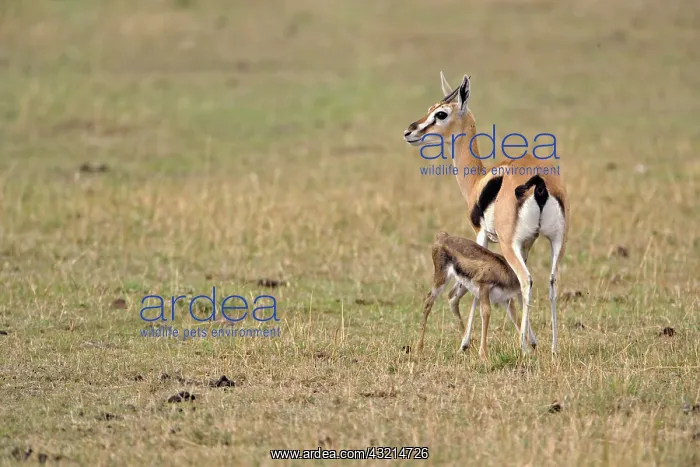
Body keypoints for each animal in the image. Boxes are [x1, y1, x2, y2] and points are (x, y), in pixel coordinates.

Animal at [419, 231, 523, 360]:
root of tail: (442, 236)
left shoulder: (505, 299)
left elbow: (515, 317)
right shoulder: (484, 289)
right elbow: (486, 313)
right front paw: (484, 355)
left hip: (462, 284)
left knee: (452, 298)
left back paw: (467, 345)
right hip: (441, 278)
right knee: (429, 300)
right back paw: (419, 349)